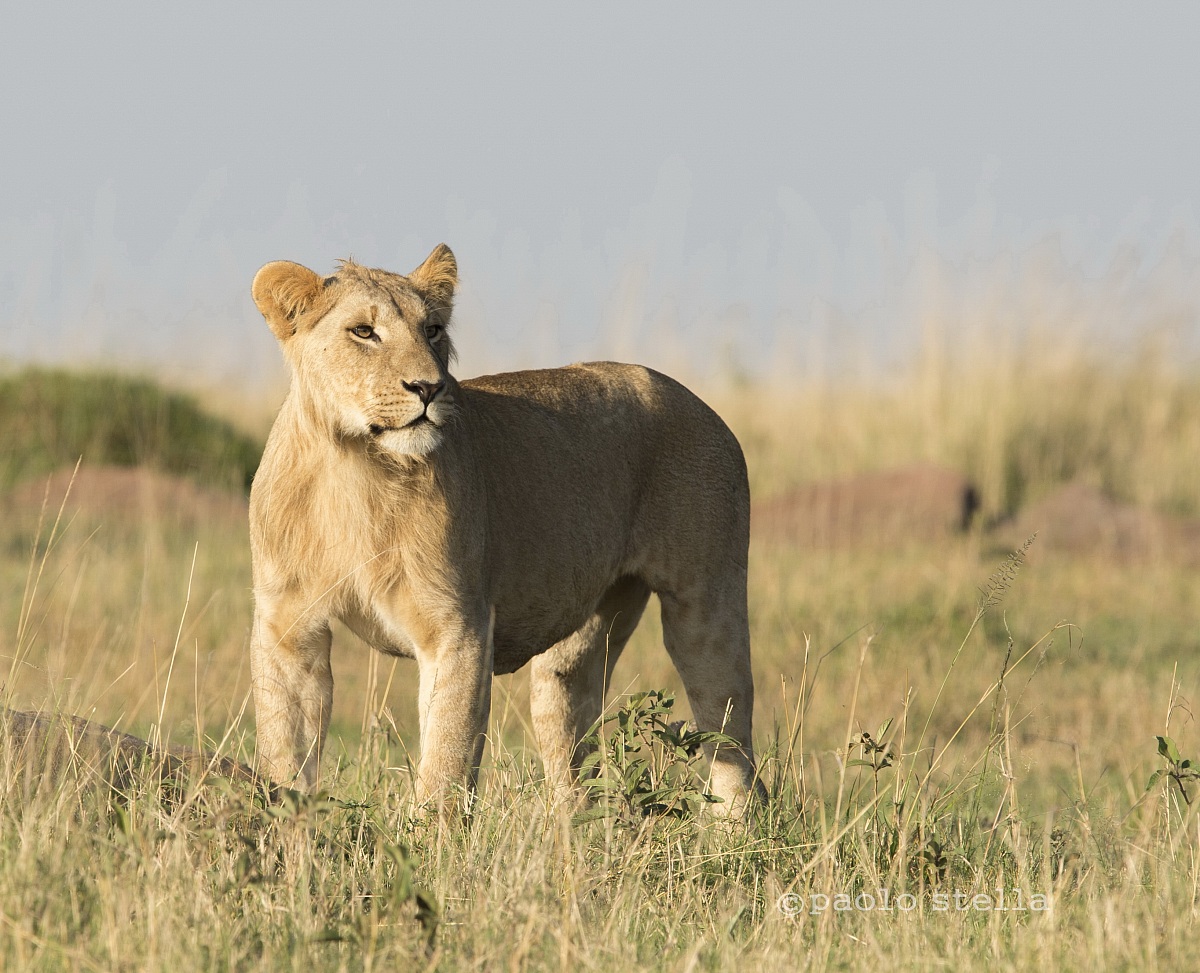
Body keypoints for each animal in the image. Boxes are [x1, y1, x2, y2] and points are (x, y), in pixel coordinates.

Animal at [248, 244, 762, 813]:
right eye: (363, 331)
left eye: (432, 330)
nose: (428, 387)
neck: (354, 466)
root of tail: (704, 407)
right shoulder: (288, 626)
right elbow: (285, 748)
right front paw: (287, 820)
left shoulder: (458, 627)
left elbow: (446, 759)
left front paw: (432, 834)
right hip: (580, 638)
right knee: (571, 731)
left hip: (706, 602)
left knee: (730, 736)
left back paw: (735, 829)